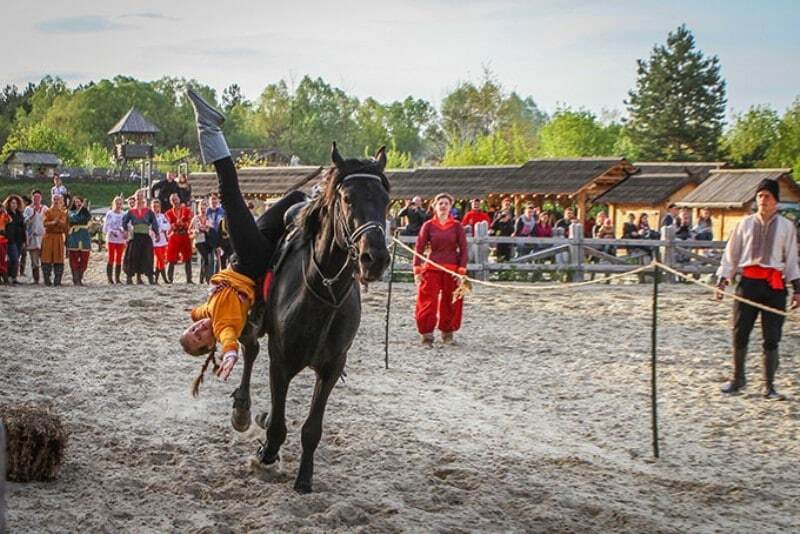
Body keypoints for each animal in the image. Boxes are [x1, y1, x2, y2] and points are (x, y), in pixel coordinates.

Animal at [231, 144, 390, 496]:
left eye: (386, 200)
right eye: (348, 199)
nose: (376, 258)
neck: (321, 292)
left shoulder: (331, 367)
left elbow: (312, 429)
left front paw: (304, 479)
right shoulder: (281, 361)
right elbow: (278, 426)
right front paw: (266, 452)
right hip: (252, 321)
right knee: (250, 350)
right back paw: (243, 409)